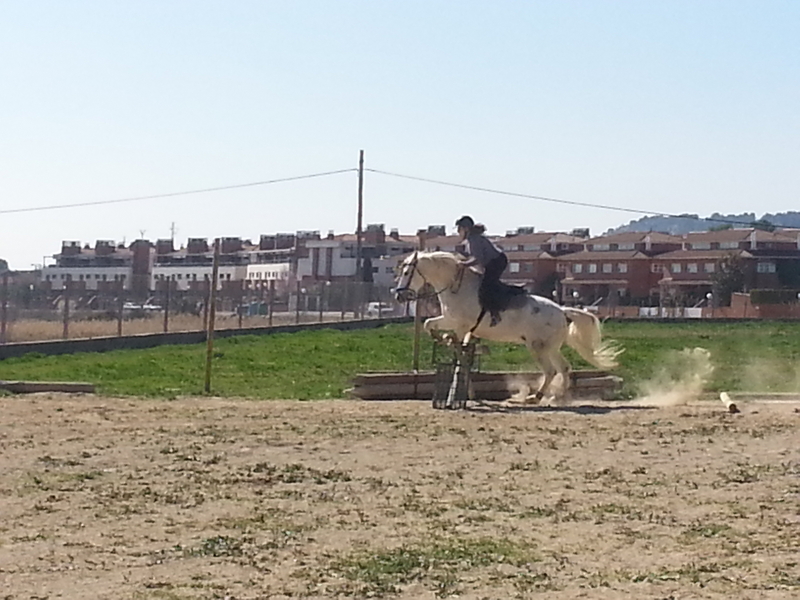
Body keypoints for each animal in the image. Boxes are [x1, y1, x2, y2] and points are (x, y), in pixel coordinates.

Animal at [394, 250, 621, 403]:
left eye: (407, 272)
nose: (399, 296)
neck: (455, 287)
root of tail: (562, 311)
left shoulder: (459, 325)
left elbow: (459, 351)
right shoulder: (449, 320)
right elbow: (429, 324)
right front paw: (441, 338)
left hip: (538, 347)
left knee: (550, 370)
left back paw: (536, 397)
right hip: (551, 347)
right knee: (563, 368)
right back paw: (556, 398)